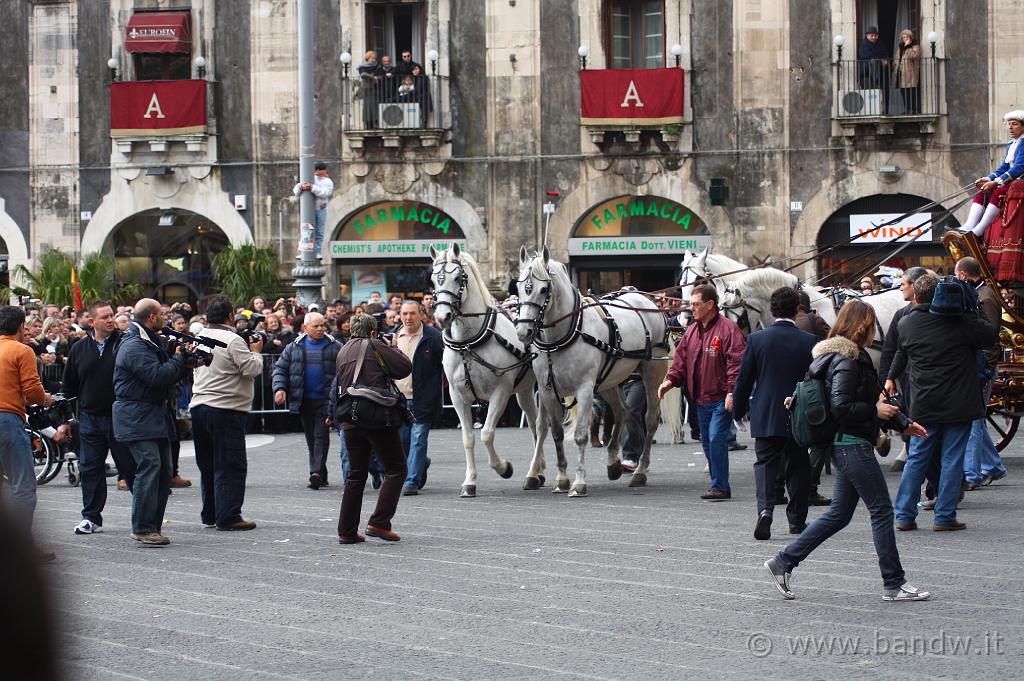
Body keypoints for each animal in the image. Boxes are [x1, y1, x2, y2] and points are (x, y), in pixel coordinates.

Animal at [430, 241, 548, 497]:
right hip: (524, 390)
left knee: (542, 426)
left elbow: (486, 434)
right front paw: (470, 481)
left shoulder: (500, 392)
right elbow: (468, 438)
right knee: (533, 422)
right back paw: (539, 471)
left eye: (458, 278)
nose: (442, 316)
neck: (469, 342)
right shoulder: (456, 396)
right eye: (434, 279)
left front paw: (503, 467)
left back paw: (533, 473)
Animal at [512, 244, 671, 493]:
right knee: (621, 411)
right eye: (519, 288)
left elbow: (580, 435)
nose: (523, 332)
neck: (565, 334)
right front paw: (561, 478)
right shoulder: (547, 391)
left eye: (544, 289)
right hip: (609, 381)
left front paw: (578, 482)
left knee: (650, 419)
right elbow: (555, 433)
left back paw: (640, 471)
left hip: (652, 372)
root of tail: (644, 298)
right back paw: (614, 463)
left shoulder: (585, 389)